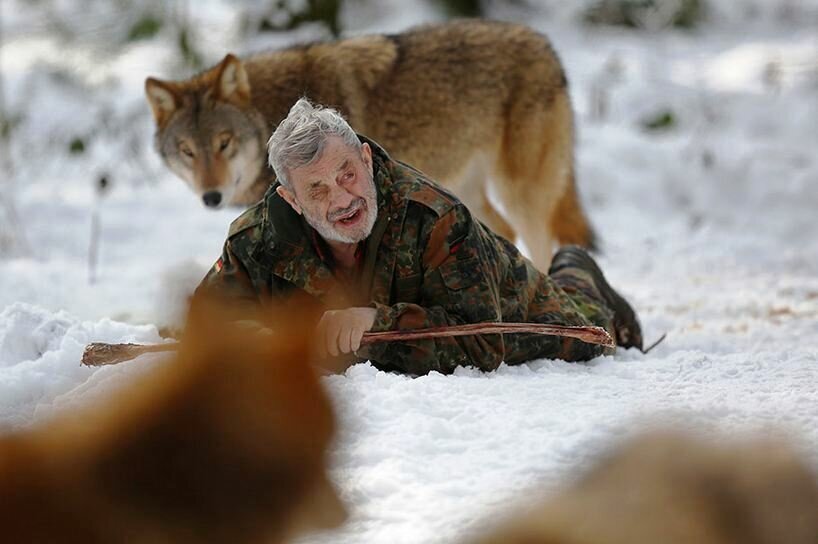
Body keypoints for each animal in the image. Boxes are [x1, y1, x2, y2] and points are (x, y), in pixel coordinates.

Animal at [145, 20, 595, 270]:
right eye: (188, 151)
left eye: (224, 143)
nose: (211, 197)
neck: (272, 107)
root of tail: (547, 46)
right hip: (466, 191)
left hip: (522, 192)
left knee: (540, 239)